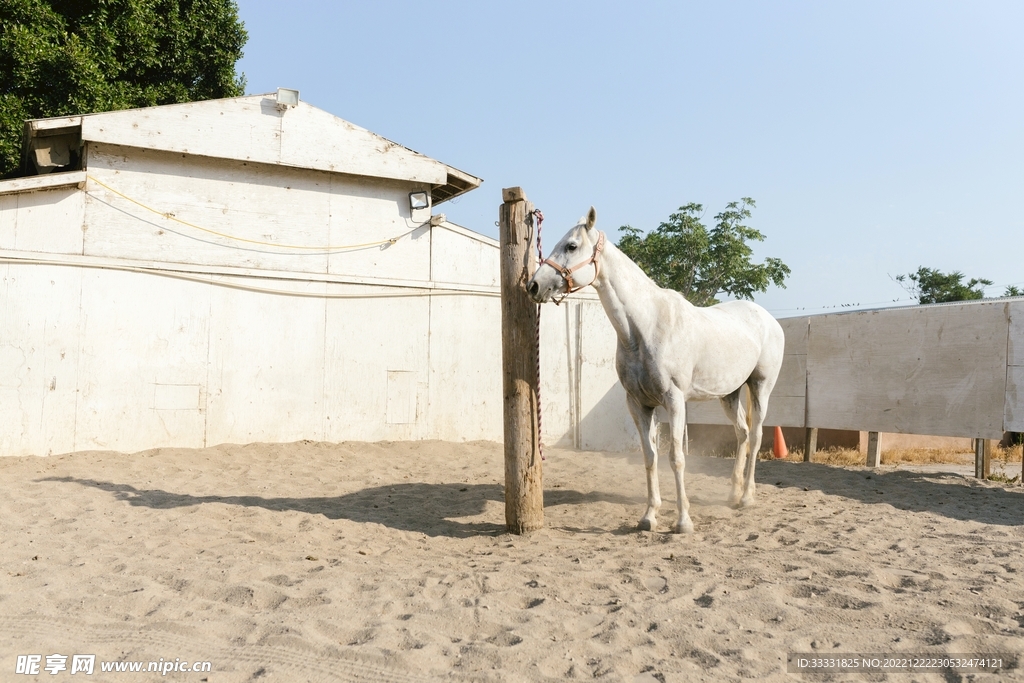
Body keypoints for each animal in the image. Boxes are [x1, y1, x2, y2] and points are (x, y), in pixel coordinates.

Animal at [527, 207, 785, 533]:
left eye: (571, 246)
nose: (534, 285)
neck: (645, 327)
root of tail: (768, 319)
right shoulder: (638, 404)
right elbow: (649, 456)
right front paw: (649, 516)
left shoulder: (674, 401)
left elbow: (676, 457)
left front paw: (683, 521)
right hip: (730, 393)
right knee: (742, 433)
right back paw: (732, 494)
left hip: (761, 387)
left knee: (756, 436)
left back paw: (747, 497)